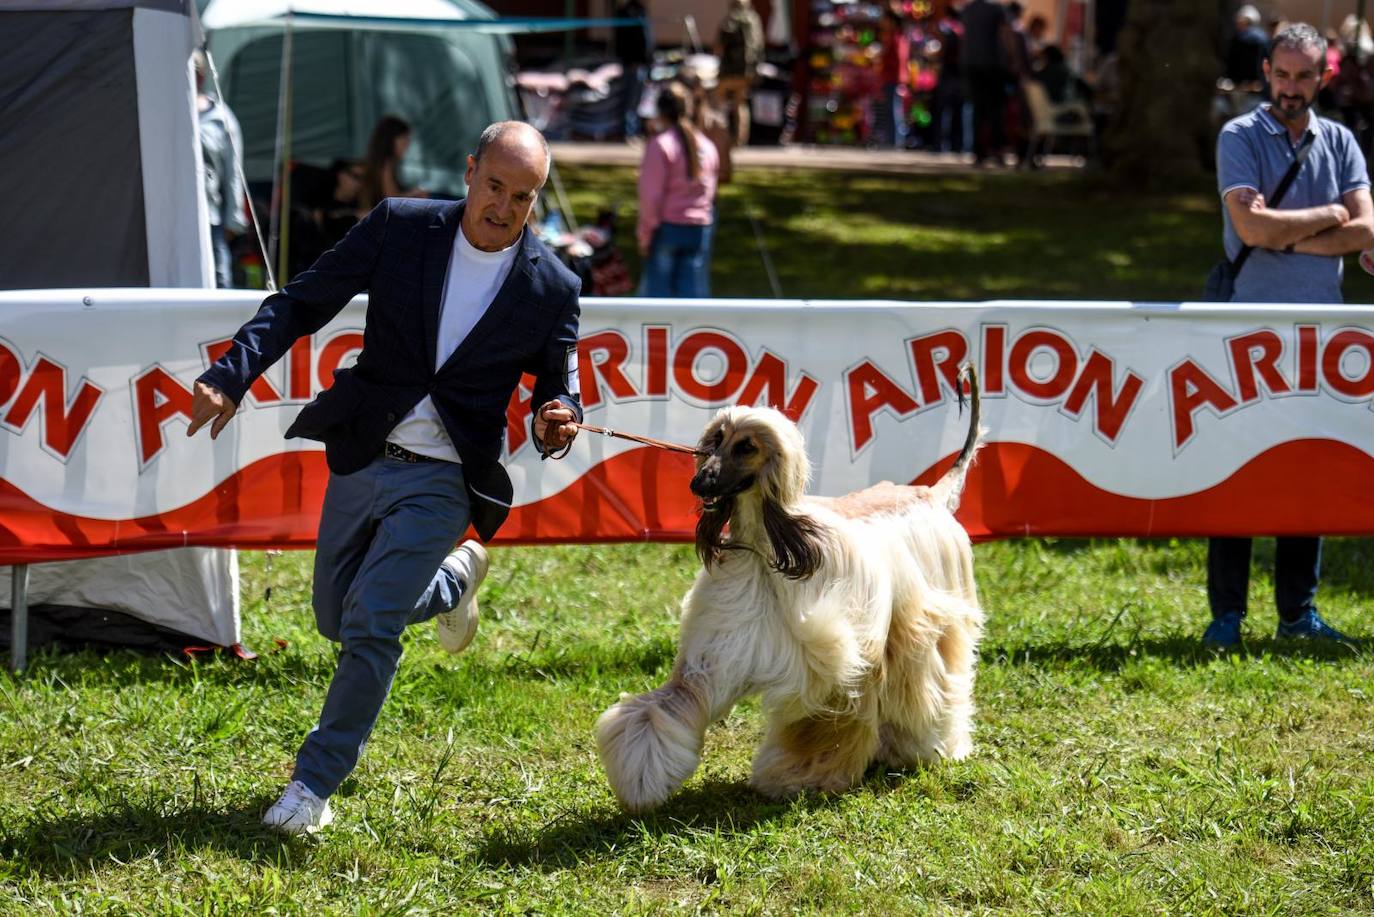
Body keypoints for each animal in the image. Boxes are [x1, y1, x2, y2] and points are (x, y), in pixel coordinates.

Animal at [596, 365, 983, 808]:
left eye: (746, 446)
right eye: (716, 440)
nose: (700, 484)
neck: (766, 549)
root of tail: (931, 492)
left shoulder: (838, 660)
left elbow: (828, 722)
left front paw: (803, 776)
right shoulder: (716, 651)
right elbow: (666, 705)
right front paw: (640, 780)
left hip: (924, 618)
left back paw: (931, 744)